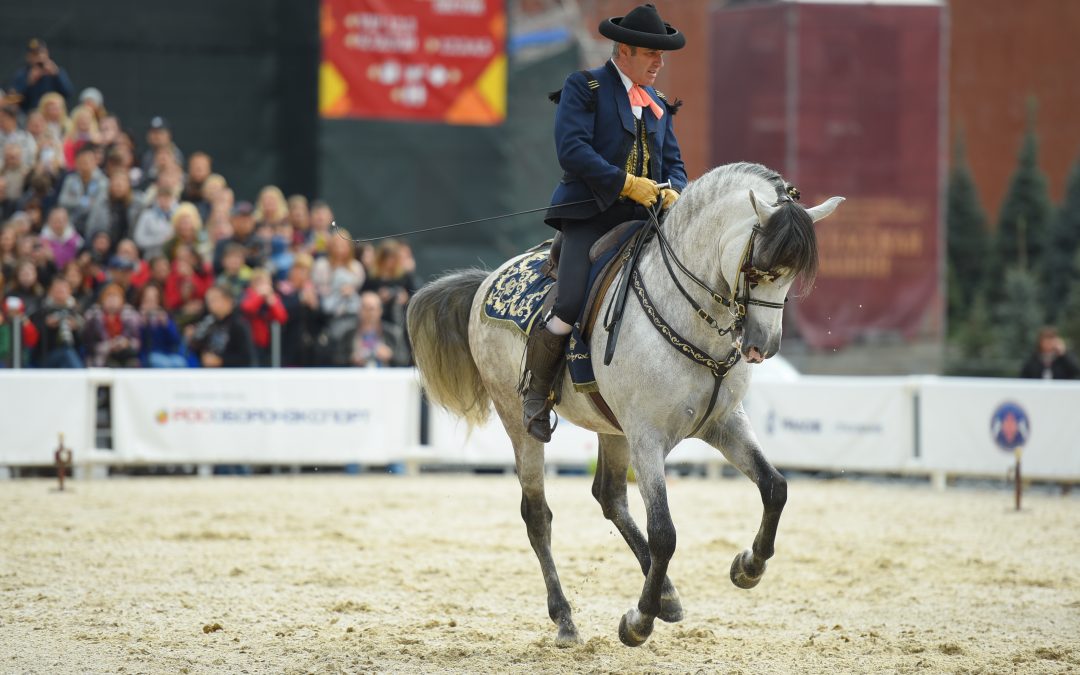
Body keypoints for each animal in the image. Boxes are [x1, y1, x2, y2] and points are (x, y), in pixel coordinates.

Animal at [406, 162, 842, 648]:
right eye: (758, 270)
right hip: (519, 421)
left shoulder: (724, 423)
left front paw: (748, 567)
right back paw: (566, 618)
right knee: (537, 514)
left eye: (792, 276)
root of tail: (487, 279)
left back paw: (666, 594)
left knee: (609, 496)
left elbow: (775, 487)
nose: (762, 347)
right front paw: (638, 622)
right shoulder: (647, 437)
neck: (695, 320)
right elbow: (665, 533)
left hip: (612, 427)